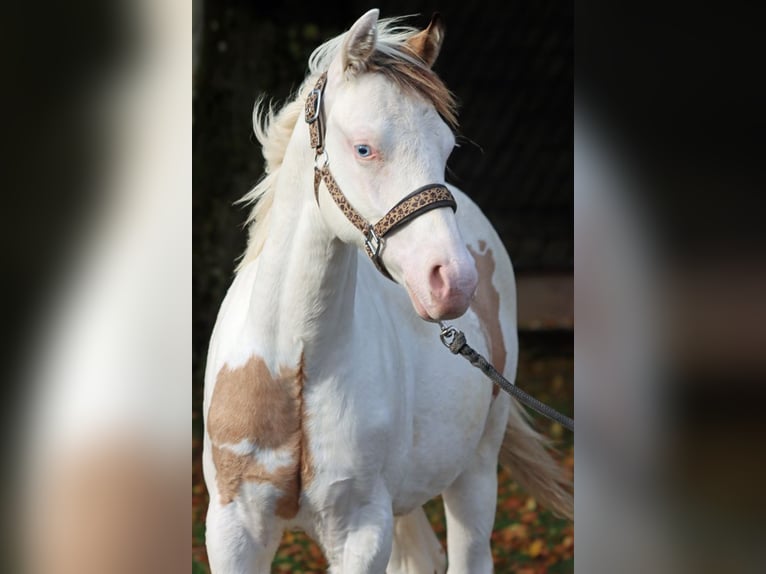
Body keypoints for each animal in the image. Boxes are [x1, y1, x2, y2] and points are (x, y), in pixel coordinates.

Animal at [202, 10, 572, 573]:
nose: (453, 280)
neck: (294, 364)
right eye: (364, 148)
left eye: (447, 147)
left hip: (475, 472)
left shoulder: (360, 529)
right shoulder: (233, 530)